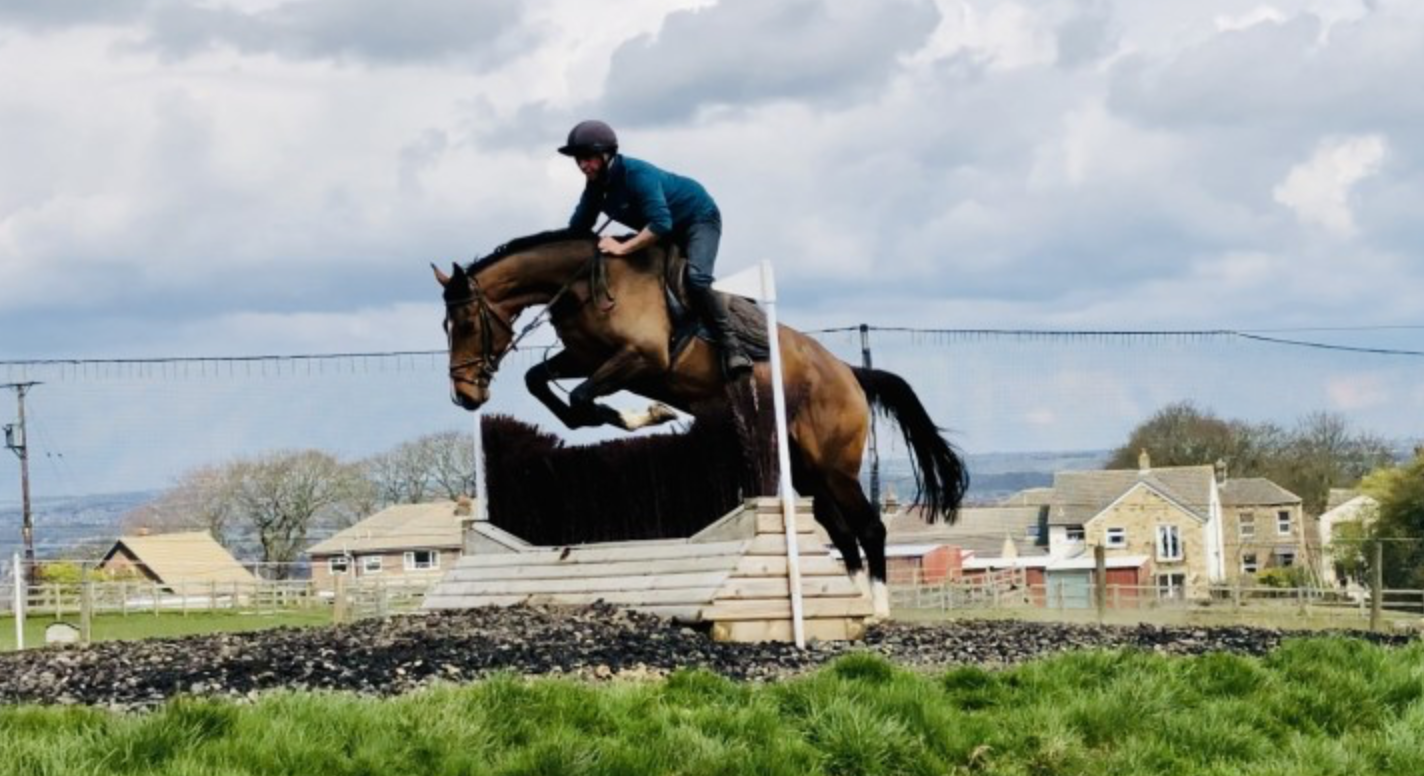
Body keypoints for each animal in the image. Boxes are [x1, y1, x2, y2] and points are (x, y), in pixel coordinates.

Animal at [434, 229, 967, 617]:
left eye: (466, 324)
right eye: (445, 326)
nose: (465, 396)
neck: (588, 284)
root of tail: (850, 373)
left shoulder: (640, 357)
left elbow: (583, 397)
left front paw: (647, 413)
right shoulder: (583, 357)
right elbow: (541, 382)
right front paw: (637, 414)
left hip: (835, 465)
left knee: (868, 527)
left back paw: (877, 609)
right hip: (803, 466)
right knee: (838, 528)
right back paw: (850, 601)